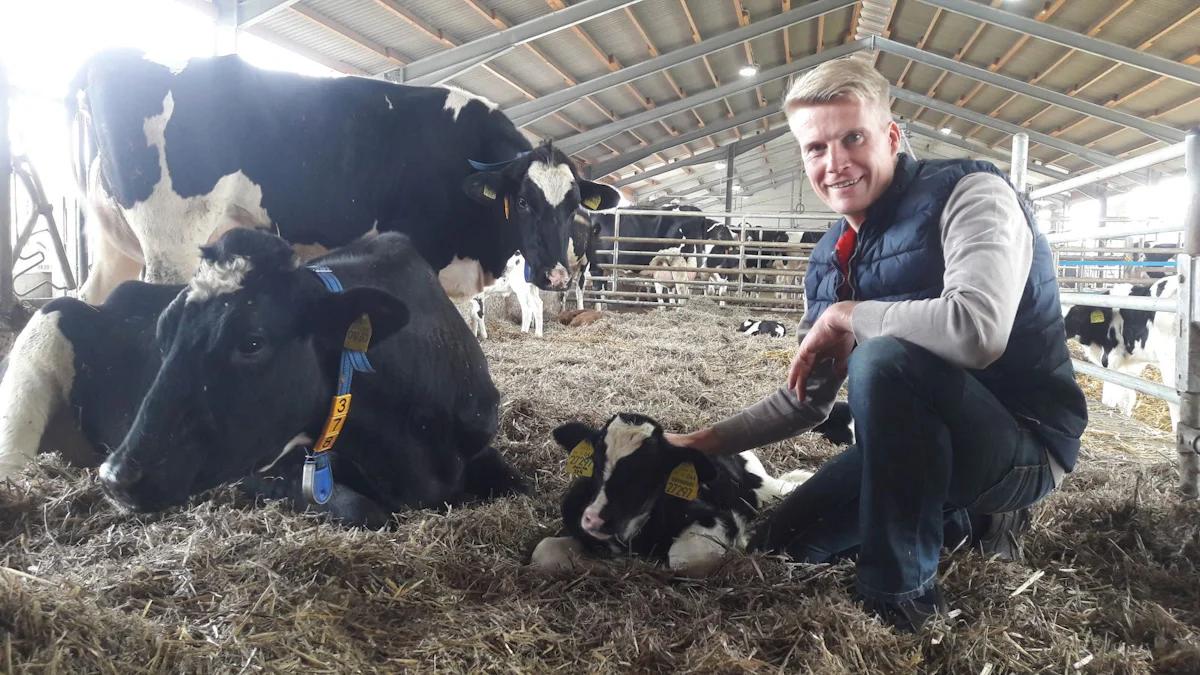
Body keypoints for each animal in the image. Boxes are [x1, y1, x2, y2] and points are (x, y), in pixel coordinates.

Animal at [0, 229, 525, 526]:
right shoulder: (264, 469)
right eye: (163, 333)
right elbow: (367, 512)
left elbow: (523, 487)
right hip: (38, 347)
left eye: (251, 342)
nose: (116, 476)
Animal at [68, 49, 620, 305]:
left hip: (115, 242)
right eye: (523, 201)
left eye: (573, 205)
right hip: (170, 241)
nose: (556, 275)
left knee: (91, 299)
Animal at [529, 413, 813, 576]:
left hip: (766, 490)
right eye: (596, 462)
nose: (595, 519)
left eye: (649, 471)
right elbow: (542, 551)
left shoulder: (721, 520)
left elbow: (681, 560)